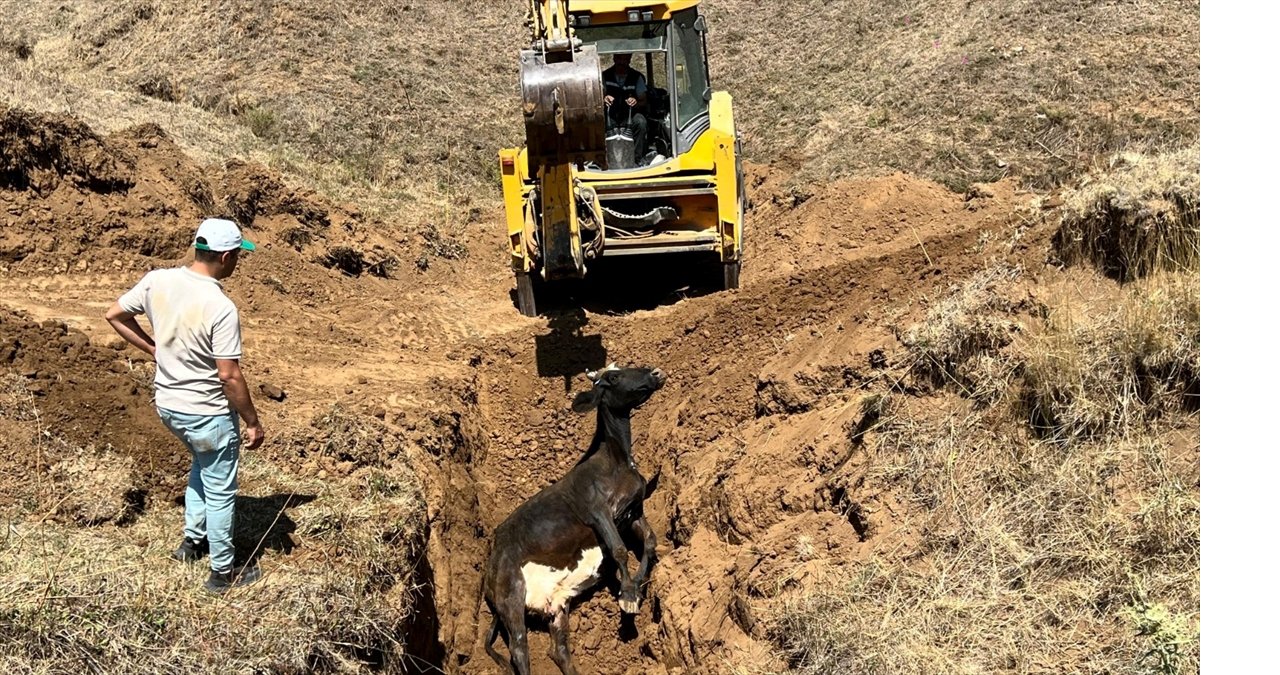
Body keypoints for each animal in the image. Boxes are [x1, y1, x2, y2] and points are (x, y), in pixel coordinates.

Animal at [481, 363, 670, 675]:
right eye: (613, 377)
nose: (655, 372)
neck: (616, 461)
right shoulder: (598, 511)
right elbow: (619, 549)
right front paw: (628, 595)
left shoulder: (633, 511)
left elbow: (650, 543)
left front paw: (635, 589)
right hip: (511, 596)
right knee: (519, 650)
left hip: (557, 606)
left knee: (558, 651)